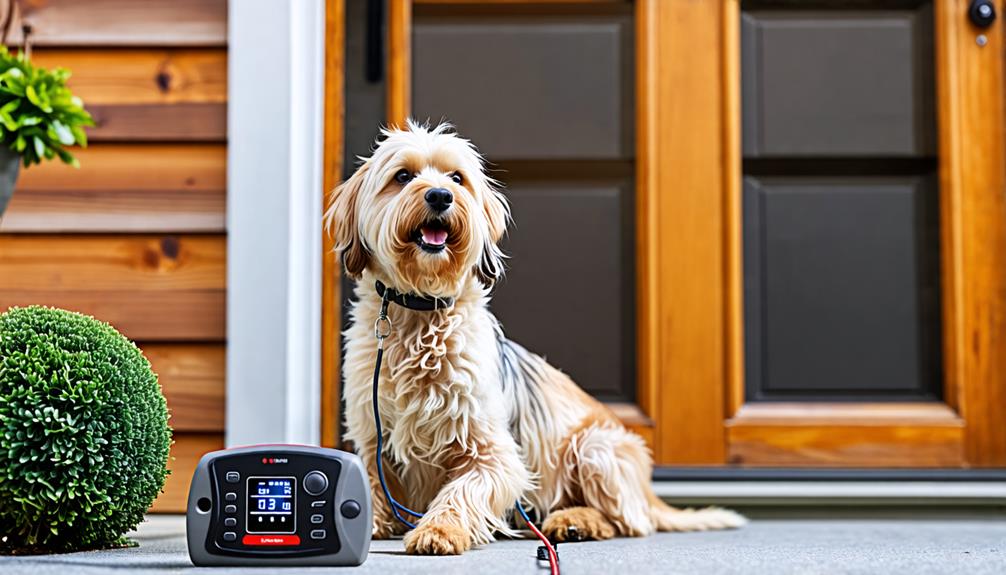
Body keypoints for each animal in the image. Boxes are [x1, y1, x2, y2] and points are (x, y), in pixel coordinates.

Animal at [325, 122, 744, 558]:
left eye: (457, 178)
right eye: (403, 176)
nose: (440, 196)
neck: (421, 311)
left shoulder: (494, 453)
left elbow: (462, 491)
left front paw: (439, 529)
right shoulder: (372, 438)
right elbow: (373, 481)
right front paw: (371, 522)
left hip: (595, 448)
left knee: (628, 522)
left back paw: (574, 522)